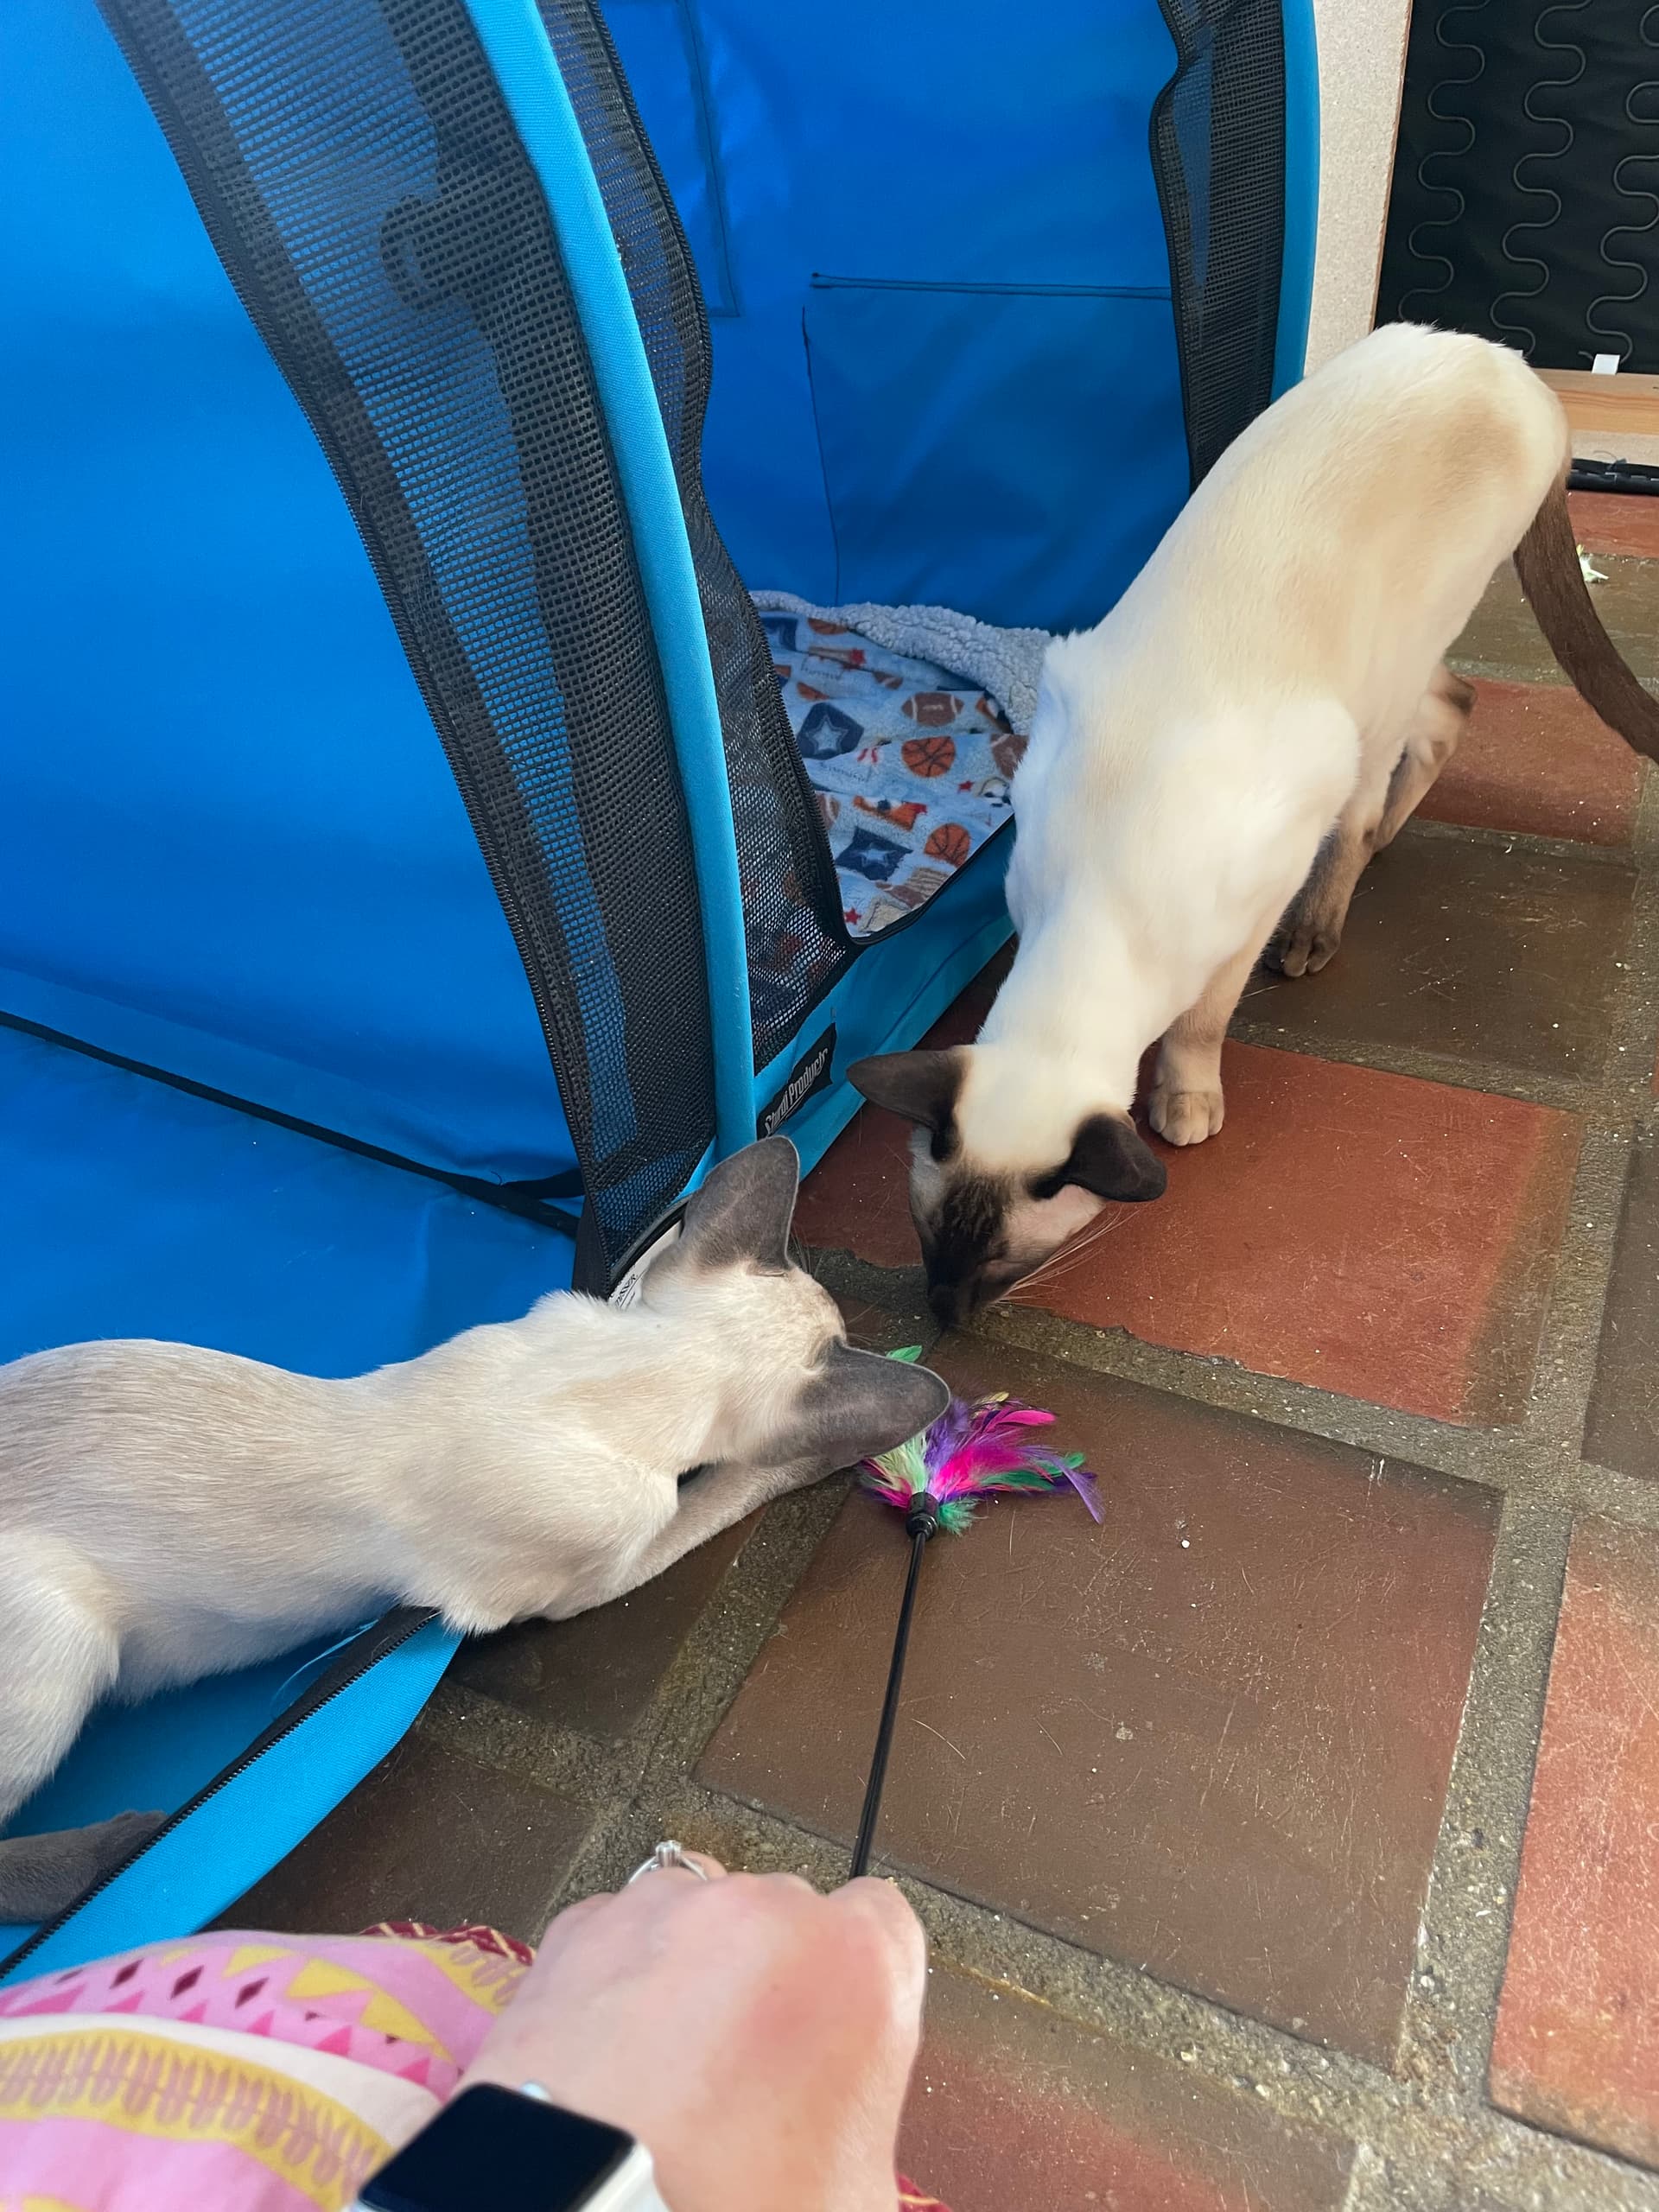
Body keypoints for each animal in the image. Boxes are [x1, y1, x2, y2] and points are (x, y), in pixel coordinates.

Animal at [0, 1136, 946, 1922]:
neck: (624, 1374)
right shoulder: (606, 1567)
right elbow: (731, 1490)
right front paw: (847, 1460)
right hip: (63, 1650)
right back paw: (111, 1853)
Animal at [848, 323, 1659, 1324]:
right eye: (927, 1238)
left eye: (1003, 1261)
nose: (946, 1316)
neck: (1096, 903)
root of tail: (1507, 361)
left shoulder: (1239, 924)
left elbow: (1198, 1026)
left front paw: (1186, 1107)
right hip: (1383, 676)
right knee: (1453, 704)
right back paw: (1392, 833)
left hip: (1378, 686)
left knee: (1382, 780)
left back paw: (1327, 916)